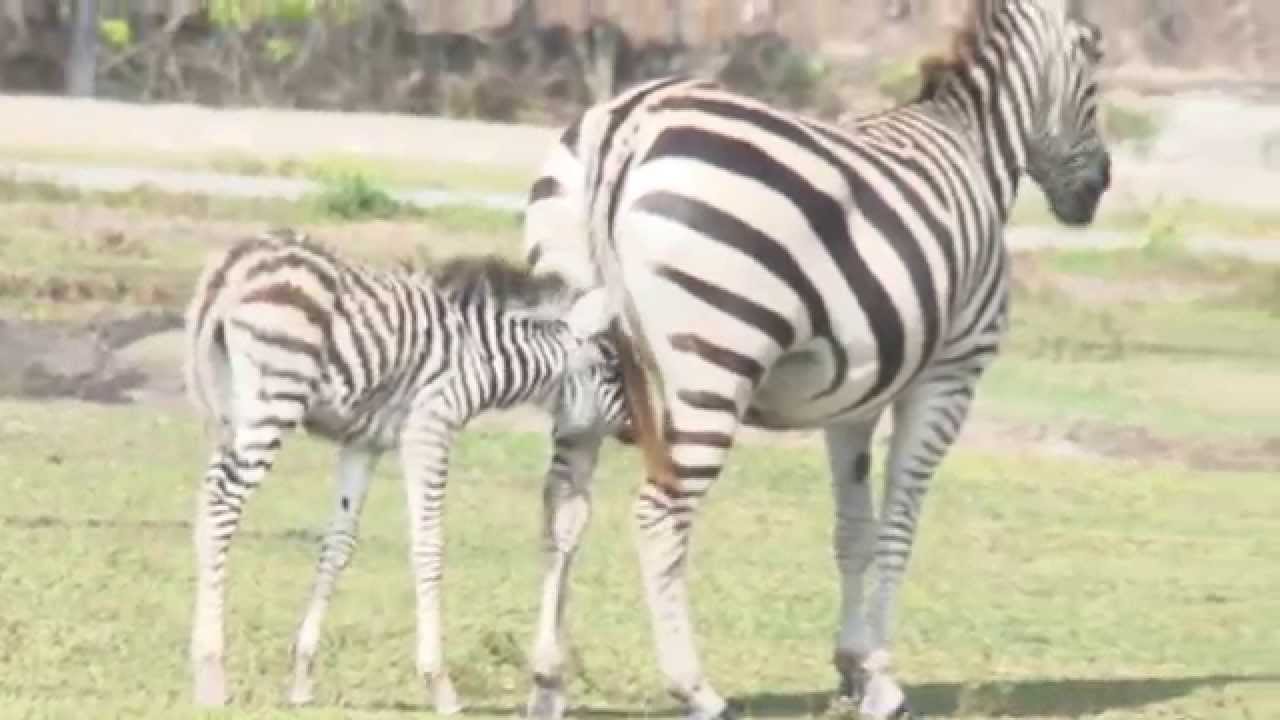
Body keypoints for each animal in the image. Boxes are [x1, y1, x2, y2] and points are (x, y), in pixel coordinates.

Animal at [183, 228, 628, 712]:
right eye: (610, 367)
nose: (637, 428)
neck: (480, 354)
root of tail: (235, 264)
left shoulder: (362, 444)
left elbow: (338, 545)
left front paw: (302, 676)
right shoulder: (429, 431)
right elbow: (429, 545)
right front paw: (439, 683)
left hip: (233, 409)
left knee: (208, 507)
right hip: (274, 399)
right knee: (222, 507)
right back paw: (211, 674)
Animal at [521, 1, 1110, 718]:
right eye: (1094, 60)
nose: (1098, 187)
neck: (973, 145)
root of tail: (624, 125)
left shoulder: (853, 398)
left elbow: (853, 530)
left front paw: (853, 666)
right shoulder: (948, 378)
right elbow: (899, 525)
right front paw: (882, 677)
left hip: (580, 352)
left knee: (563, 502)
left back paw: (548, 679)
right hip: (714, 361)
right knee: (660, 515)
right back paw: (696, 689)